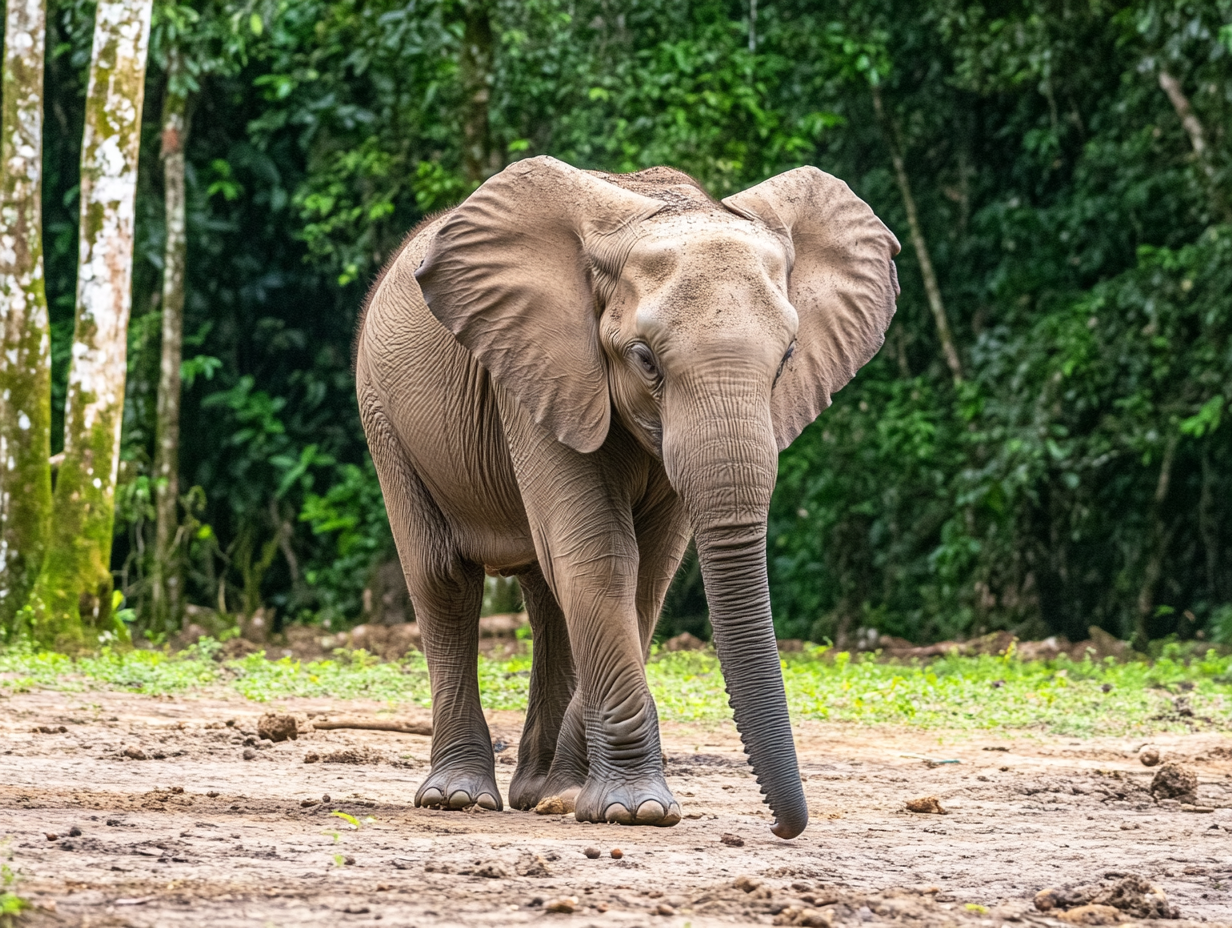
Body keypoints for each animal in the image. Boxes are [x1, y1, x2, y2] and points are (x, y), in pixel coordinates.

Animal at [354, 157, 899, 839]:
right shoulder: (542, 369)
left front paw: (573, 798)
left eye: (788, 359)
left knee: (545, 595)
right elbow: (602, 559)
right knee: (443, 579)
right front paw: (635, 812)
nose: (783, 828)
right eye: (645, 360)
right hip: (383, 414)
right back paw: (459, 798)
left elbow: (649, 572)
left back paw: (539, 790)